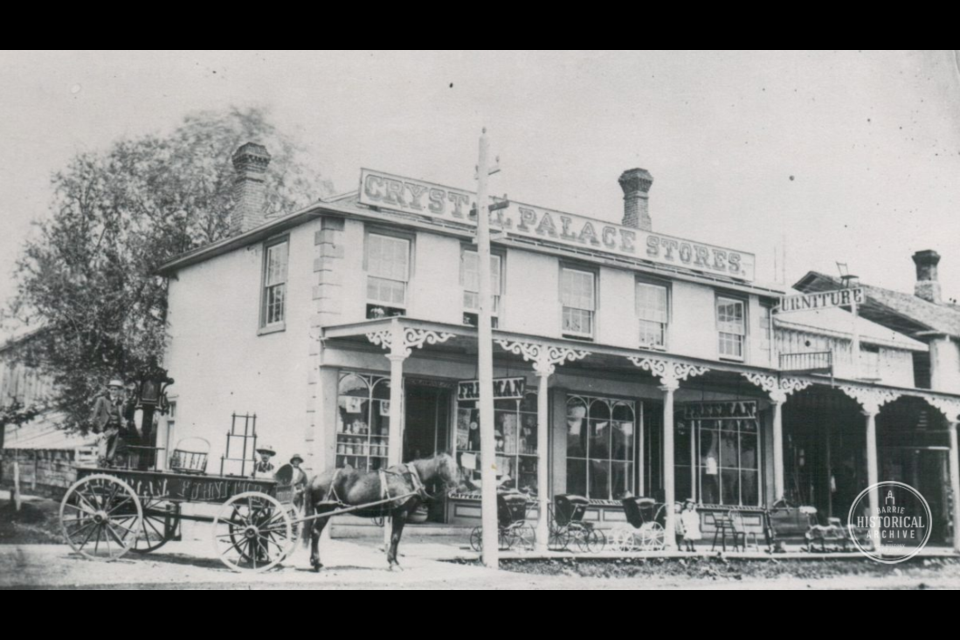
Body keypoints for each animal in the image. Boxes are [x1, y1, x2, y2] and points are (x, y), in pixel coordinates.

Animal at [306, 450, 460, 568]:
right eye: (447, 466)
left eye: (457, 467)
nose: (456, 488)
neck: (408, 478)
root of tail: (316, 477)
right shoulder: (401, 513)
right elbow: (395, 538)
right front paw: (393, 563)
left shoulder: (396, 514)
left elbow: (395, 537)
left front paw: (394, 561)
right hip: (325, 510)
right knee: (315, 533)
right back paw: (317, 563)